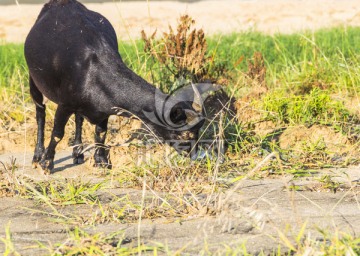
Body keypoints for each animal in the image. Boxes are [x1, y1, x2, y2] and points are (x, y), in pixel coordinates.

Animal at [24, 0, 205, 173]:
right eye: (185, 133)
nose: (196, 156)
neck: (93, 71)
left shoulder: (104, 108)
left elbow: (101, 132)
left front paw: (101, 161)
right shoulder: (65, 104)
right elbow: (57, 134)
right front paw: (47, 164)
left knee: (79, 118)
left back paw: (78, 153)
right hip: (33, 80)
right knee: (40, 113)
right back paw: (37, 156)